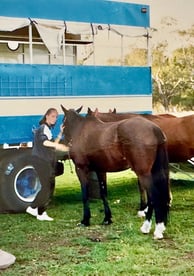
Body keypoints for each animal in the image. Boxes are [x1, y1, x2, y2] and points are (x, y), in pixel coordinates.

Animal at [60, 105, 170, 239]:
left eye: (63, 122)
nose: (63, 142)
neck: (81, 131)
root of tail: (154, 128)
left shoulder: (81, 169)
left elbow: (85, 195)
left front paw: (85, 220)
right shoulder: (100, 171)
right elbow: (103, 194)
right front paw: (107, 219)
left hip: (143, 174)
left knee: (154, 197)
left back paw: (151, 228)